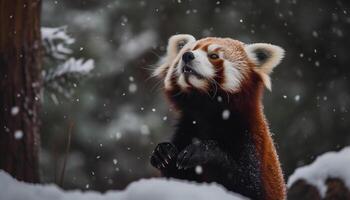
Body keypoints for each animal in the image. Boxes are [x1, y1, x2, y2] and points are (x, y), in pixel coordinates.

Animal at [150, 33, 288, 199]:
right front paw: (164, 153)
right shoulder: (187, 128)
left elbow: (247, 185)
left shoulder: (250, 140)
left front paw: (203, 150)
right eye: (190, 50)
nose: (187, 56)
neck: (207, 110)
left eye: (214, 56)